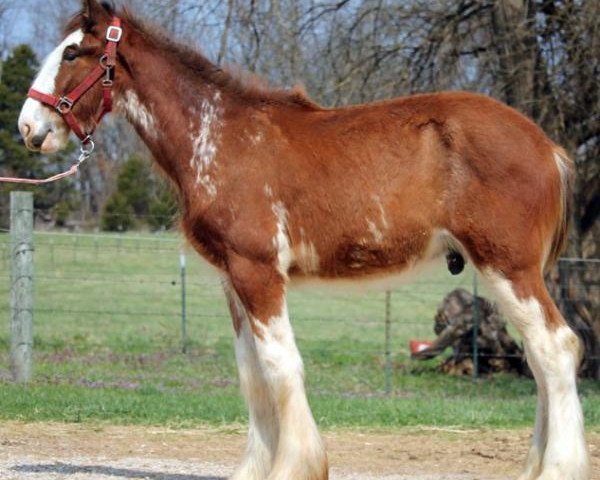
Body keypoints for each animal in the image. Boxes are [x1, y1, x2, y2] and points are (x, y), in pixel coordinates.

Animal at [16, 0, 588, 480]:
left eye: (73, 52)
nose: (27, 127)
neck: (219, 137)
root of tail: (548, 147)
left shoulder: (258, 272)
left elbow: (280, 366)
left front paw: (295, 467)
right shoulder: (232, 281)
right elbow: (252, 375)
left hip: (508, 267)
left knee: (555, 348)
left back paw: (559, 469)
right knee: (538, 357)